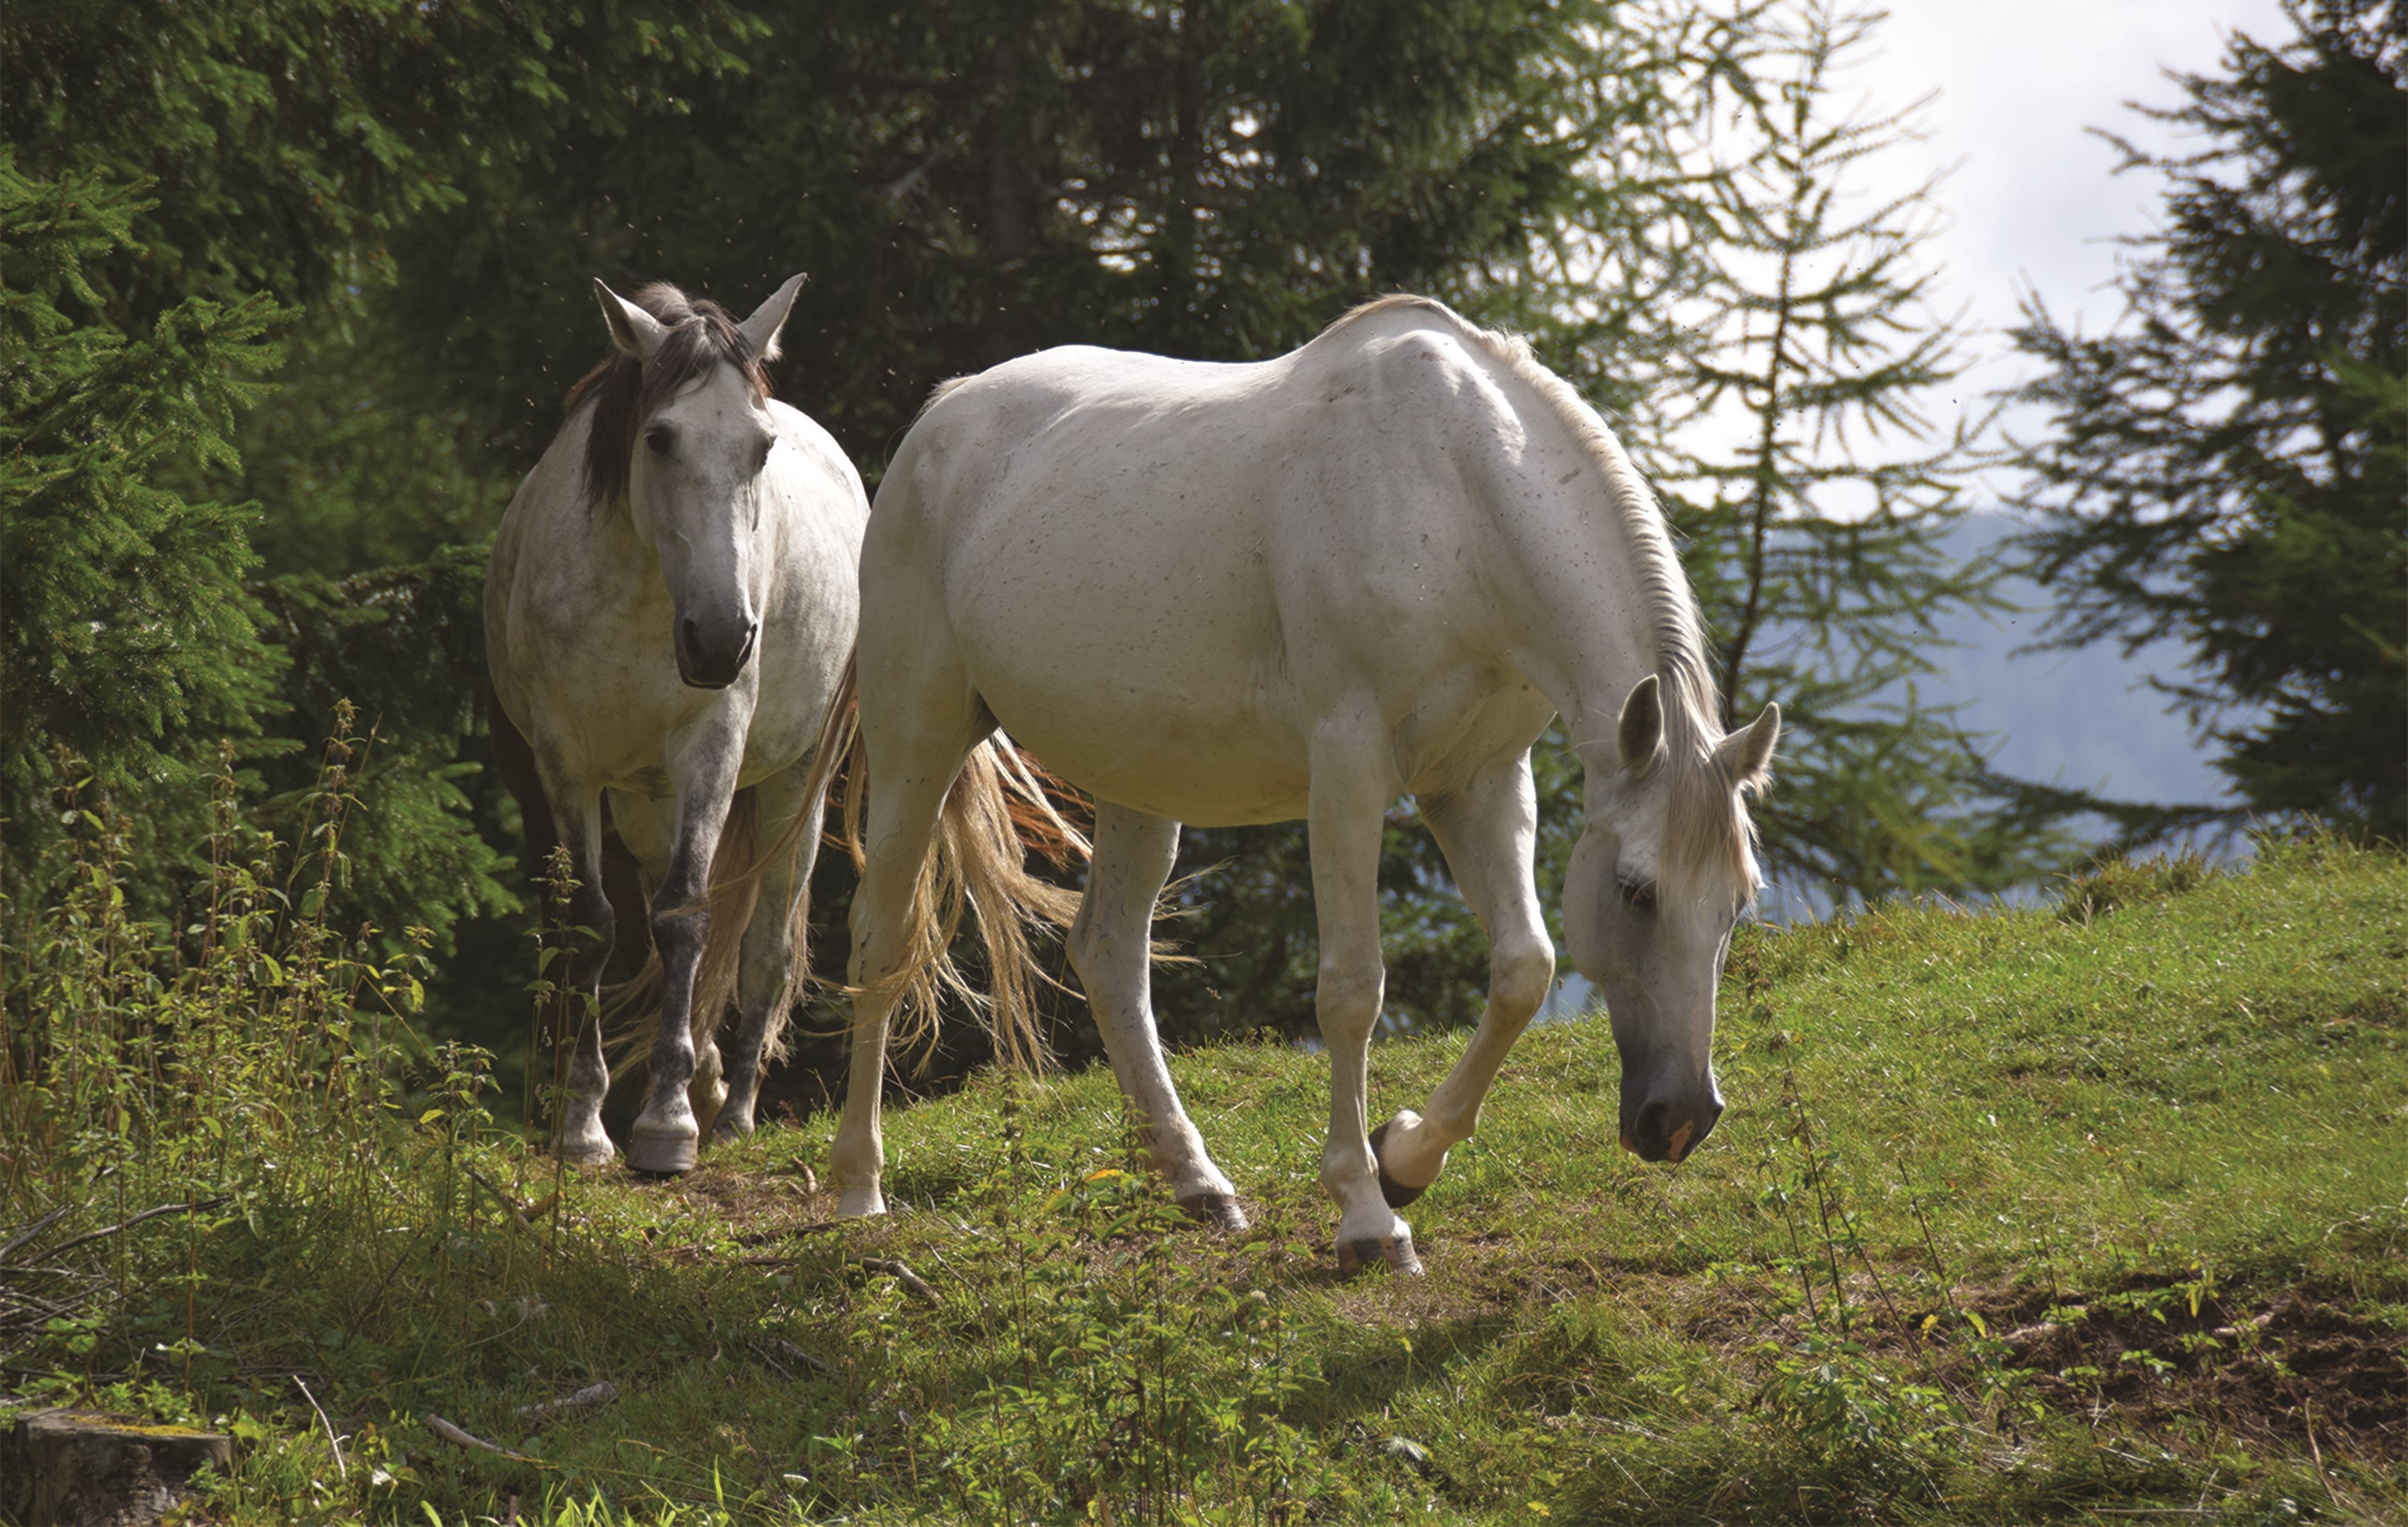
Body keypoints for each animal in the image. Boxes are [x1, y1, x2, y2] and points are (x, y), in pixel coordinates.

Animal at [484, 274, 868, 1173]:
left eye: (761, 446)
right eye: (658, 438)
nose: (722, 637)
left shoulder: (712, 749)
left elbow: (687, 914)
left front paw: (668, 1125)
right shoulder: (565, 763)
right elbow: (595, 924)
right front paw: (585, 1125)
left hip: (797, 784)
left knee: (766, 945)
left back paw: (735, 1112)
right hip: (643, 803)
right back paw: (712, 1080)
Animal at [818, 295, 1780, 1274]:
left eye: (1739, 901)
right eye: (1636, 891)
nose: (1680, 1118)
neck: (1454, 491)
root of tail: (944, 415)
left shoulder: (1480, 782)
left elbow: (1524, 967)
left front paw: (1406, 1158)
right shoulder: (1350, 771)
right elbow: (1352, 990)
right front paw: (1367, 1214)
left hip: (1139, 781)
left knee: (1109, 952)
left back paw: (1197, 1180)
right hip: (917, 739)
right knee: (880, 939)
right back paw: (859, 1188)